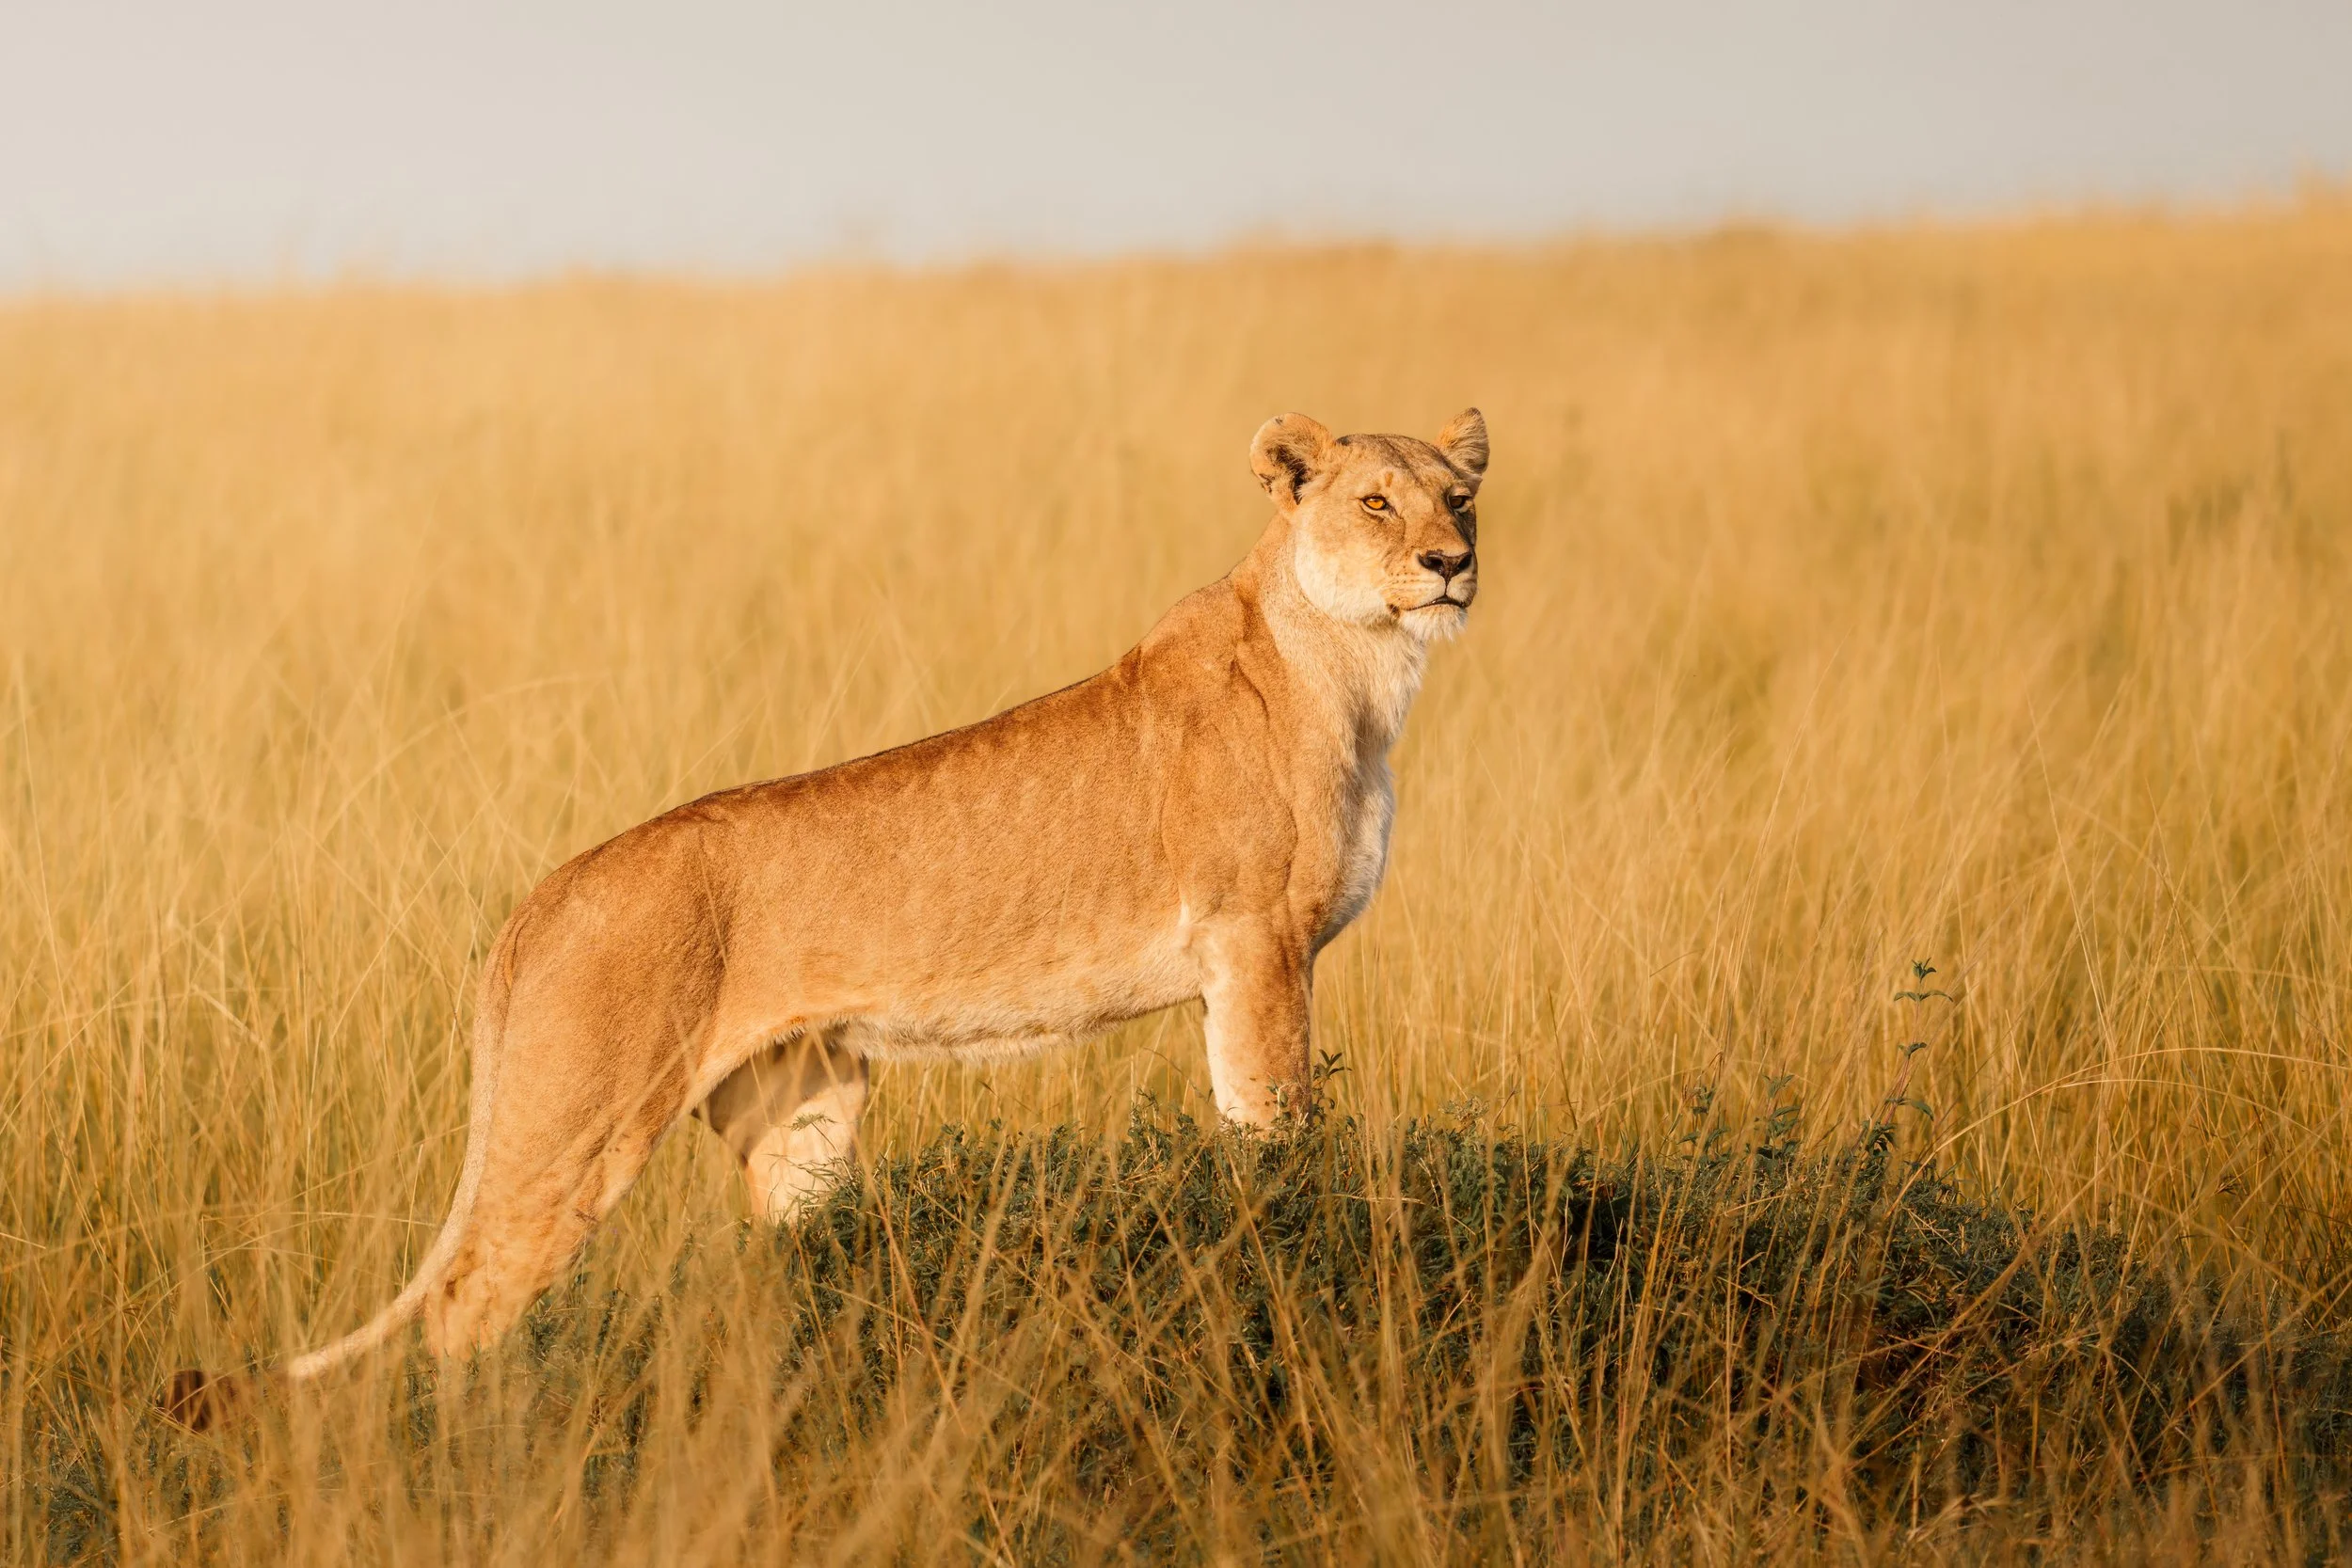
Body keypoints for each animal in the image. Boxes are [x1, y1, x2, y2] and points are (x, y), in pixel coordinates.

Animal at [164, 408, 1488, 1428]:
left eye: (1462, 497)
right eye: (1375, 501)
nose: (1448, 564)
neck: (1362, 671)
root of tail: (544, 893)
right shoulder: (1254, 943)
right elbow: (1276, 1140)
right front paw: (1292, 1248)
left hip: (800, 1111)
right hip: (579, 1120)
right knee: (464, 1305)